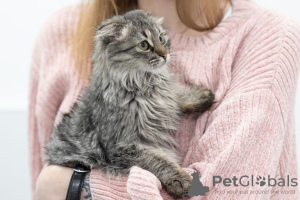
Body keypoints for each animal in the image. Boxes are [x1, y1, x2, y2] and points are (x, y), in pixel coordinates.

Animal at [47, 10, 214, 198]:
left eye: (161, 38)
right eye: (144, 45)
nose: (165, 55)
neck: (143, 84)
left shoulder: (162, 100)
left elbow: (174, 97)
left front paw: (199, 97)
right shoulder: (122, 148)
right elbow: (158, 160)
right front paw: (179, 179)